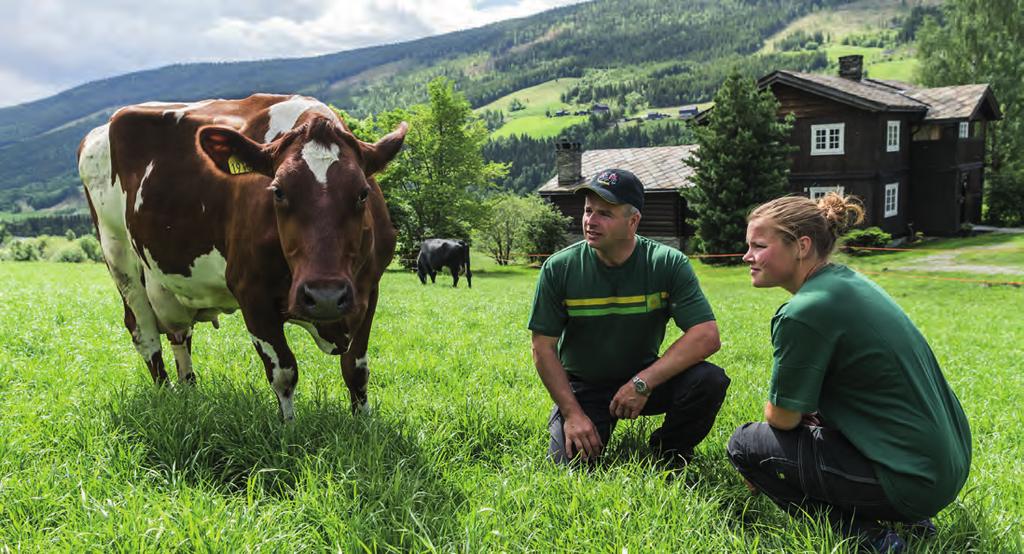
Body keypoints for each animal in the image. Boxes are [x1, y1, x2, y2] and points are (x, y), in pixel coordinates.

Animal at [77, 92, 405, 417]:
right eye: (278, 191)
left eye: (363, 193)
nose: (325, 296)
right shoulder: (252, 292)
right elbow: (284, 373)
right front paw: (288, 429)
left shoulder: (367, 289)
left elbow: (356, 370)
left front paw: (362, 422)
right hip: (118, 256)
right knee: (144, 334)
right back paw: (166, 397)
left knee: (179, 335)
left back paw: (189, 394)